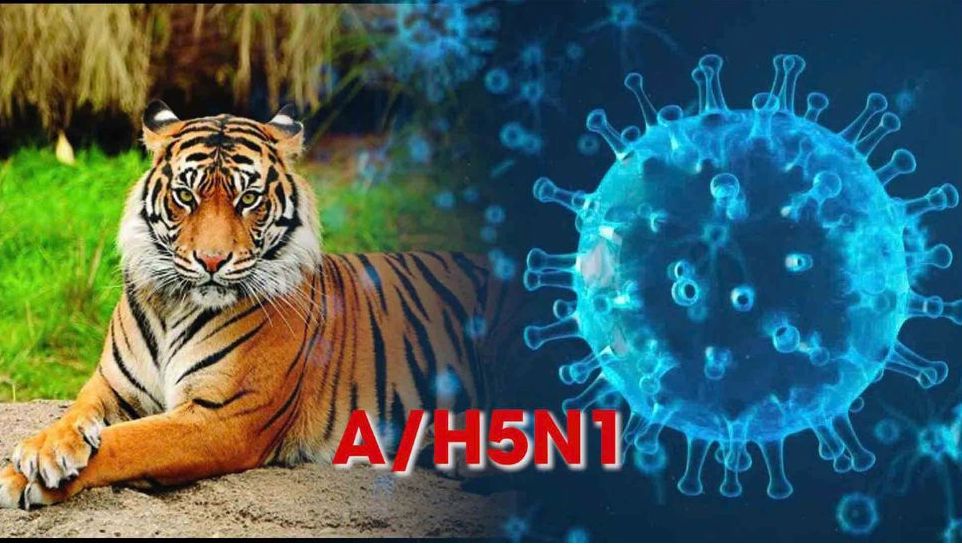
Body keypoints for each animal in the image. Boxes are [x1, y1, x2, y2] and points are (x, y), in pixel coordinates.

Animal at [0, 101, 522, 509]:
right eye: (185, 196)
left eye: (249, 198)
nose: (212, 261)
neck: (174, 305)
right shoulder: (112, 386)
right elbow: (75, 414)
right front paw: (45, 449)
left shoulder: (223, 417)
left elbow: (128, 442)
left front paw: (21, 476)